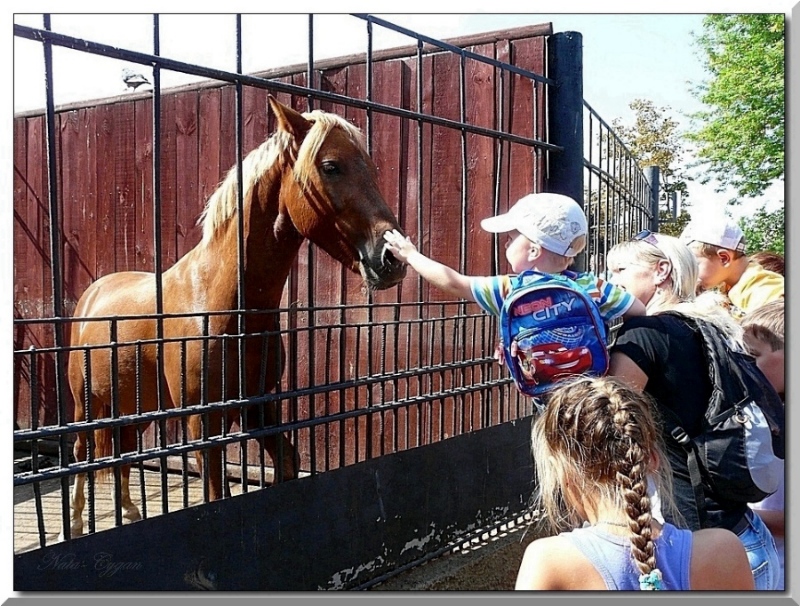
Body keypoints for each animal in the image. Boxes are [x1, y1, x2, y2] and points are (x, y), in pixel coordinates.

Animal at [64, 96, 406, 540]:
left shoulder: (259, 407)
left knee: (121, 452)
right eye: (331, 165)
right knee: (81, 454)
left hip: (134, 407)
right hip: (87, 406)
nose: (393, 258)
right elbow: (215, 493)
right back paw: (71, 525)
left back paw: (130, 512)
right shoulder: (202, 422)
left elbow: (287, 464)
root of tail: (93, 295)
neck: (222, 305)